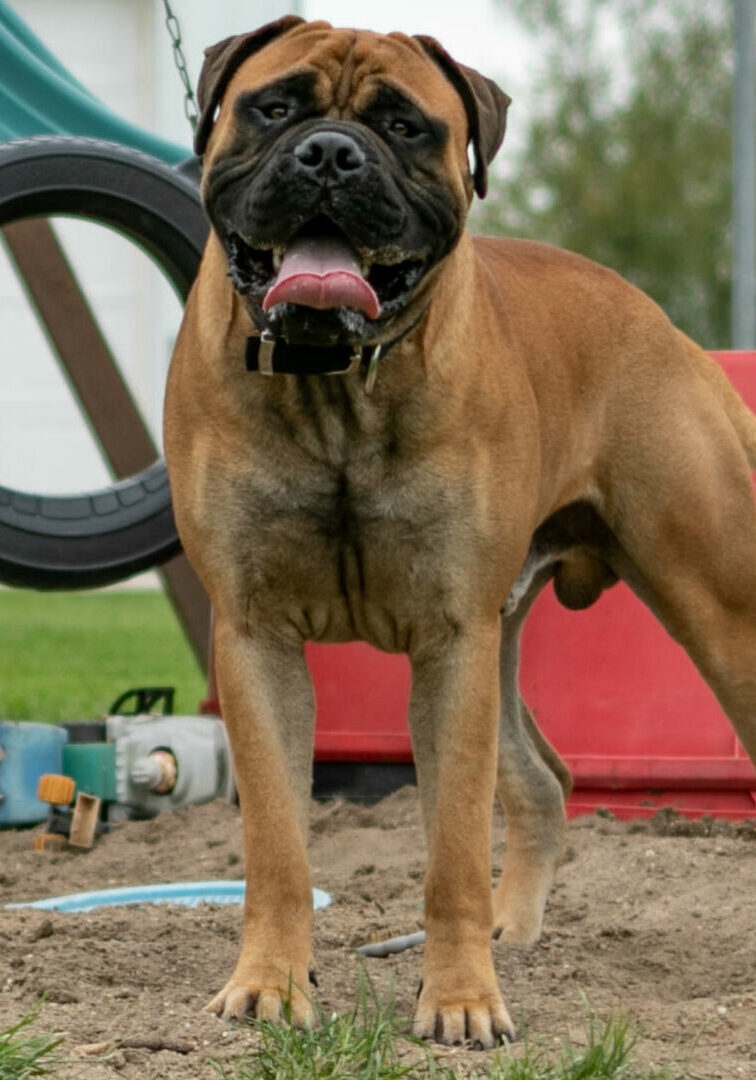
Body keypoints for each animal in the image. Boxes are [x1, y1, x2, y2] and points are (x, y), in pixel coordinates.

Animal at [164, 14, 756, 1045]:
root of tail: (667, 325)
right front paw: (271, 985)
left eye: (405, 126)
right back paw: (517, 935)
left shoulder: (450, 648)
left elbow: (450, 854)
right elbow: (277, 843)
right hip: (504, 639)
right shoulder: (256, 638)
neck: (336, 386)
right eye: (274, 107)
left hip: (715, 610)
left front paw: (460, 1000)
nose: (331, 153)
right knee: (544, 782)